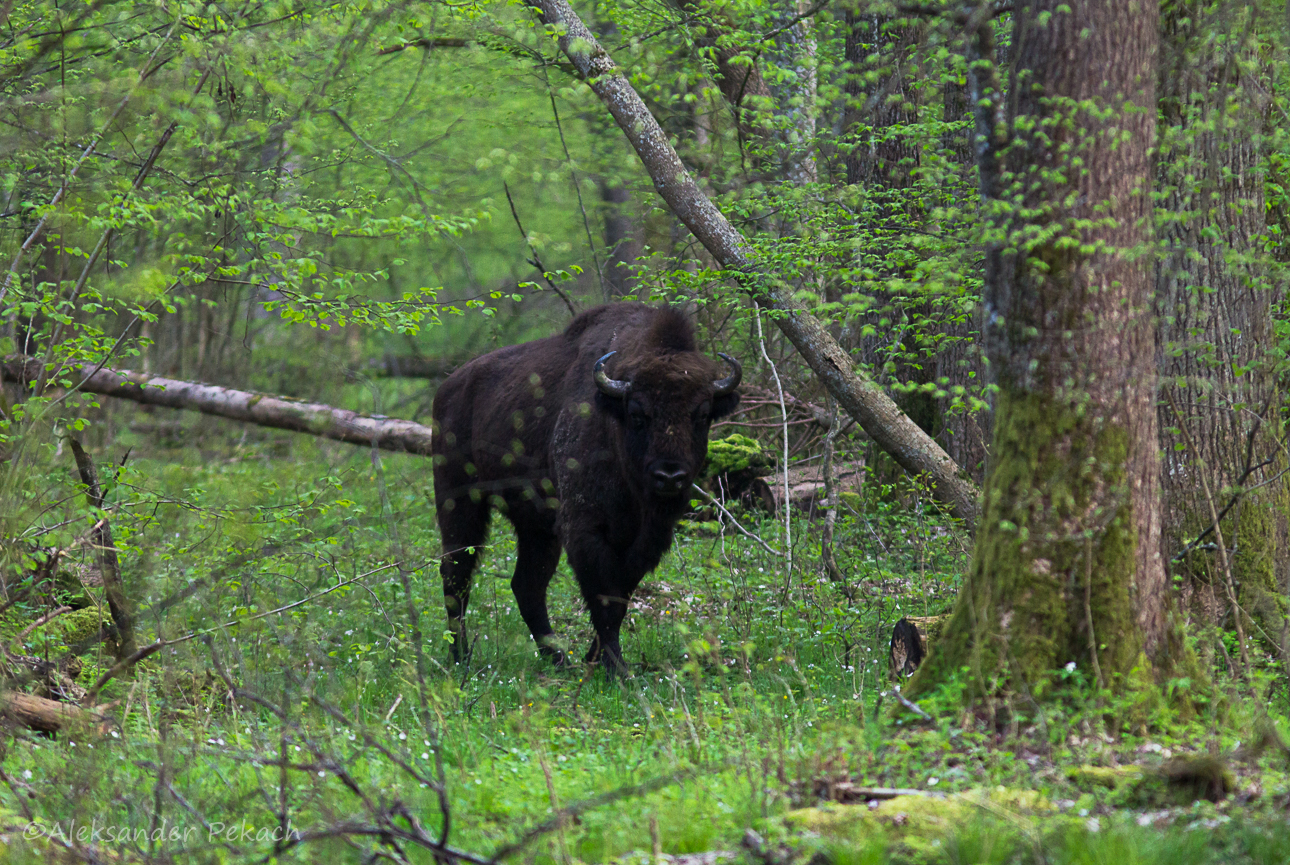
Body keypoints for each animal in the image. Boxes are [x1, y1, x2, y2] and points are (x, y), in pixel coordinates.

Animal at [430, 301, 743, 675]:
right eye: (637, 413)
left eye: (702, 415)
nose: (669, 476)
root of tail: (449, 388)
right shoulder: (585, 530)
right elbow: (604, 598)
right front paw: (616, 668)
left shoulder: (646, 540)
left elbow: (620, 595)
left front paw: (595, 659)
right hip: (460, 503)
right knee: (456, 574)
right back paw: (461, 658)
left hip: (536, 526)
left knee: (526, 586)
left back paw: (558, 660)